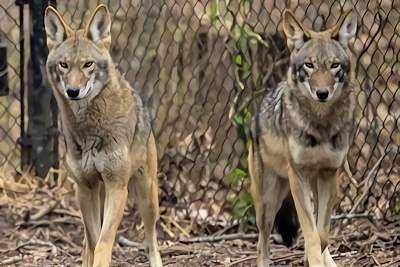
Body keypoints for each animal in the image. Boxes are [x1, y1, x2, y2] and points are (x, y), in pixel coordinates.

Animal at [44, 4, 162, 267]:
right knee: (86, 243)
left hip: (147, 197)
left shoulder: (117, 186)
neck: (87, 129)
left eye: (88, 64)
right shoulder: (84, 187)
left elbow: (104, 242)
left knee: (151, 240)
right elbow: (93, 239)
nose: (73, 91)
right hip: (96, 193)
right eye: (64, 65)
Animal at [250, 7, 360, 266]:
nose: (322, 93)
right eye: (309, 65)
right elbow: (310, 233)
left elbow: (322, 234)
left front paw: (315, 260)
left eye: (334, 65)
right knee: (261, 242)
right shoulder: (297, 176)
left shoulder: (329, 174)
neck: (321, 125)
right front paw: (312, 260)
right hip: (268, 201)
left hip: (314, 186)